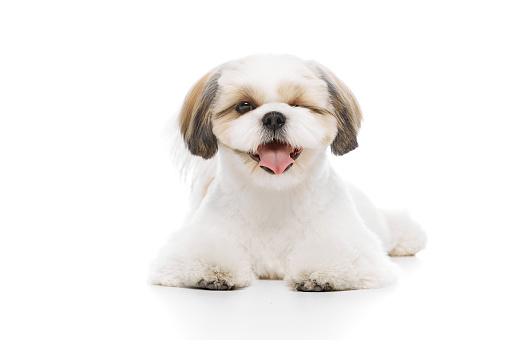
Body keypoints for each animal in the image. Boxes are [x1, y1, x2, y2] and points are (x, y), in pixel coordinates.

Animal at [150, 54, 424, 290]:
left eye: (299, 105)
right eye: (244, 106)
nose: (273, 116)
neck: (274, 196)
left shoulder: (356, 247)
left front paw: (320, 275)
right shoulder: (195, 240)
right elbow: (200, 253)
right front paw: (212, 273)